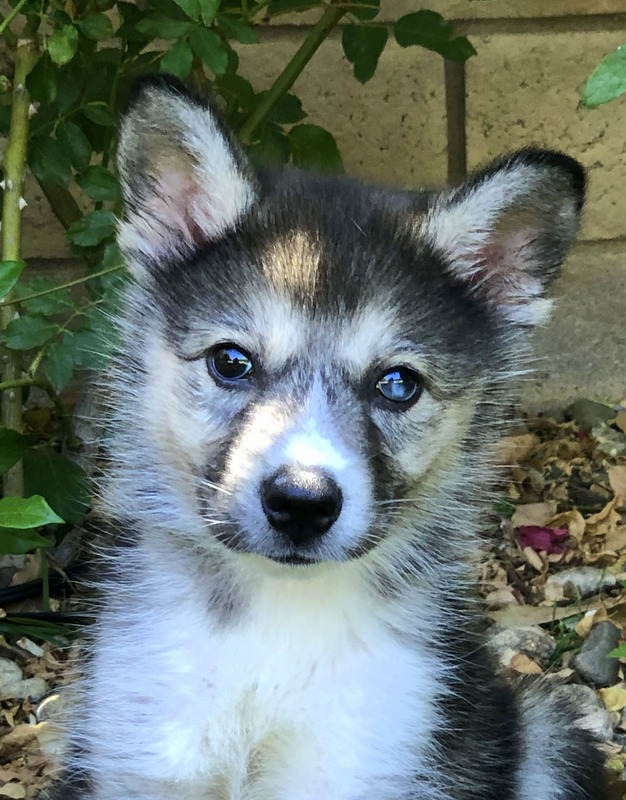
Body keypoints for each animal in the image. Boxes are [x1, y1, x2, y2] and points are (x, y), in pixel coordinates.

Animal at [50, 76, 604, 800]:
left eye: (397, 384)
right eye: (231, 361)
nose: (301, 503)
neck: (275, 629)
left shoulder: (367, 758)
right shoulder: (138, 751)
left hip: (545, 730)